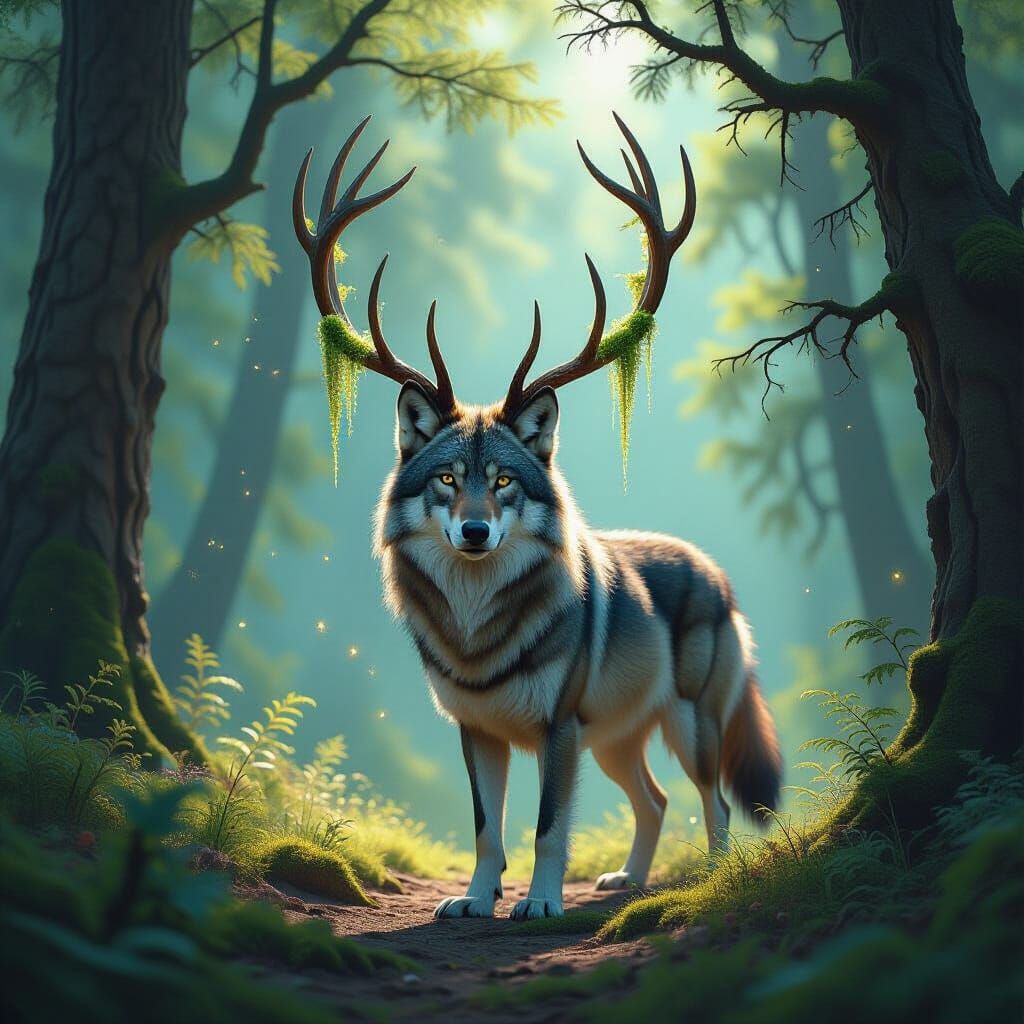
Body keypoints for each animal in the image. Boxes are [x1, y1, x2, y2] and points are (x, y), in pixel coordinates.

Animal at [293, 114, 782, 920]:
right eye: (448, 480)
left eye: (504, 481)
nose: (475, 532)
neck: (477, 633)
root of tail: (714, 571)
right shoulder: (476, 731)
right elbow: (487, 828)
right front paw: (473, 900)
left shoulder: (559, 728)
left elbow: (549, 826)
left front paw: (542, 904)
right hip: (615, 742)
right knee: (654, 801)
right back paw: (626, 881)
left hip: (687, 723)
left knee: (712, 804)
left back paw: (710, 880)